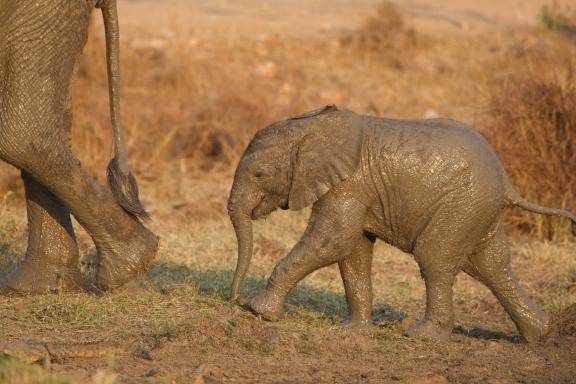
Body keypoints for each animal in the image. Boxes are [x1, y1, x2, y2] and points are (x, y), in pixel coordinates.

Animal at [228, 106, 576, 344]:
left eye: (259, 174)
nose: (232, 301)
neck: (312, 127)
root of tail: (505, 178)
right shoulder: (357, 189)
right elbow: (353, 252)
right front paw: (352, 330)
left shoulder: (349, 184)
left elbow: (333, 241)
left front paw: (259, 311)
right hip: (477, 208)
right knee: (491, 265)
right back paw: (540, 336)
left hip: (462, 204)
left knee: (436, 259)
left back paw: (422, 335)